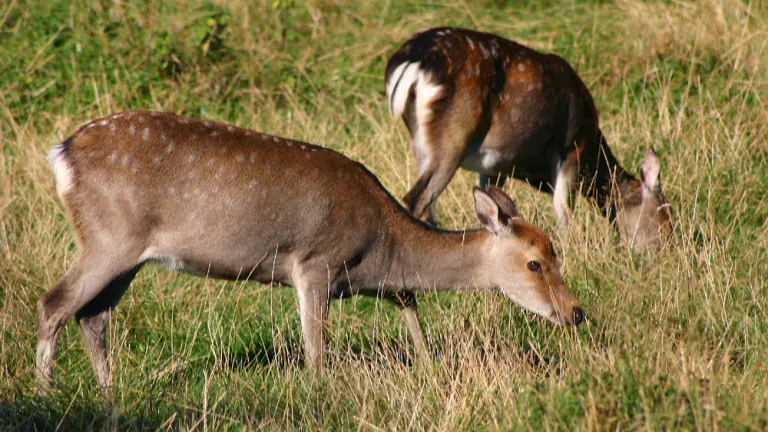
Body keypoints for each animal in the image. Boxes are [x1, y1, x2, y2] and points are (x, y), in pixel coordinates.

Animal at [38, 110, 584, 394]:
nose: (576, 312)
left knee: (93, 315)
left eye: (556, 253)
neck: (384, 244)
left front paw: (430, 367)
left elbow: (410, 303)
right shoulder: (316, 262)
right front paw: (320, 395)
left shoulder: (377, 283)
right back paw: (46, 395)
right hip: (110, 237)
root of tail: (62, 155)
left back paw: (110, 395)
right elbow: (317, 351)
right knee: (55, 303)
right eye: (535, 262)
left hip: (129, 255)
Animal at [385, 27, 672, 252]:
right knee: (416, 200)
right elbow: (563, 213)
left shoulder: (495, 166)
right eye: (665, 215)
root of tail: (410, 62)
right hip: (453, 134)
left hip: (421, 143)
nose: (666, 250)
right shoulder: (570, 150)